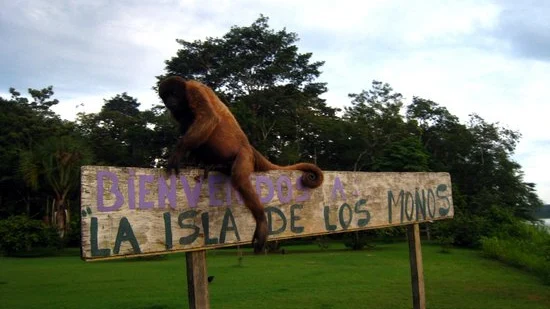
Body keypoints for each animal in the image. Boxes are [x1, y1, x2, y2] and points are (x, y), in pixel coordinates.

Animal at [158, 76, 324, 251]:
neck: (184, 92)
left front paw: (178, 153)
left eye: (173, 93)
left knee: (239, 177)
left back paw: (261, 220)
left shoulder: (193, 90)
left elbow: (208, 118)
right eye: (165, 95)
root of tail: (249, 146)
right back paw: (212, 165)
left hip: (245, 155)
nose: (169, 101)